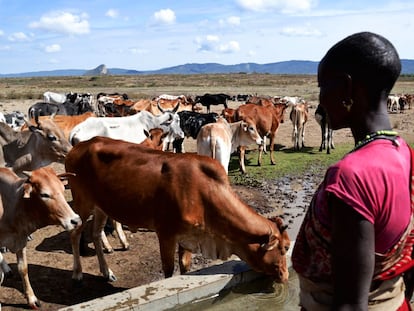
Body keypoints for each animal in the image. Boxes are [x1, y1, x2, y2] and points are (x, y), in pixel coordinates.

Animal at [0, 167, 81, 308]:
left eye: (62, 189)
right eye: (44, 195)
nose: (75, 221)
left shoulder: (20, 240)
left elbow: (23, 269)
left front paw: (32, 299)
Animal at [65, 136, 292, 286]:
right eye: (284, 247)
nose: (286, 275)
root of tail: (79, 146)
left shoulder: (189, 238)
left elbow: (185, 267)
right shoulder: (166, 234)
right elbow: (168, 270)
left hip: (101, 207)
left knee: (95, 234)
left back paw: (107, 272)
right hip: (83, 203)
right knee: (75, 234)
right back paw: (77, 273)